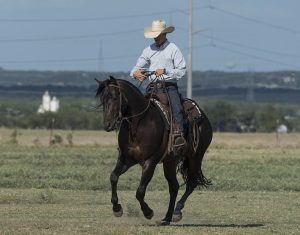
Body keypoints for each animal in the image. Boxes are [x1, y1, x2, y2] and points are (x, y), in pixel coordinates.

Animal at [95, 76, 211, 225]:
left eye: (115, 97)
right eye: (102, 99)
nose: (107, 125)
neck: (139, 123)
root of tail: (203, 116)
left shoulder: (150, 161)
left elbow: (140, 191)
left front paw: (148, 212)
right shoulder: (126, 159)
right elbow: (113, 177)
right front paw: (117, 208)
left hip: (195, 157)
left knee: (191, 183)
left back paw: (177, 211)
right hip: (170, 162)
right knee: (174, 187)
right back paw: (167, 218)